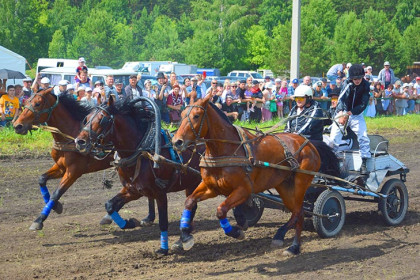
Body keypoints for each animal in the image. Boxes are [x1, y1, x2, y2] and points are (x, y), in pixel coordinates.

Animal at [13, 89, 157, 230]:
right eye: (26, 101)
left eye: (37, 104)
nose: (17, 125)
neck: (69, 136)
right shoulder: (61, 167)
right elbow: (42, 179)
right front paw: (56, 206)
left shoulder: (74, 171)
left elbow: (57, 193)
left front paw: (39, 219)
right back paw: (146, 217)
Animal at [74, 97, 210, 256]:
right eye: (87, 118)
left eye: (102, 119)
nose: (80, 142)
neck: (142, 153)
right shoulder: (133, 190)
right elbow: (109, 205)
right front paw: (129, 223)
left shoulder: (160, 192)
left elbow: (163, 221)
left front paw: (163, 249)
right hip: (191, 183)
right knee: (192, 205)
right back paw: (183, 239)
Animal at [171, 94, 338, 256]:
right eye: (182, 115)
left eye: (196, 115)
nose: (177, 142)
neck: (227, 150)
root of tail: (309, 143)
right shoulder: (211, 187)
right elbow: (189, 201)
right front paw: (185, 236)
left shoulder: (244, 190)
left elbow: (221, 210)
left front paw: (236, 231)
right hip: (284, 185)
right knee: (299, 212)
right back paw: (293, 246)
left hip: (301, 182)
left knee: (299, 211)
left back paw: (287, 240)